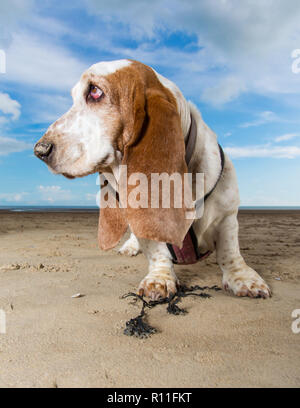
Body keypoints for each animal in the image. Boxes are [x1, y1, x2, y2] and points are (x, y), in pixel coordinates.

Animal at [34, 59, 270, 300]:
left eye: (95, 92)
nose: (40, 150)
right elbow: (157, 251)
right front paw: (159, 279)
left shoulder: (227, 216)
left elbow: (229, 251)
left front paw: (244, 279)